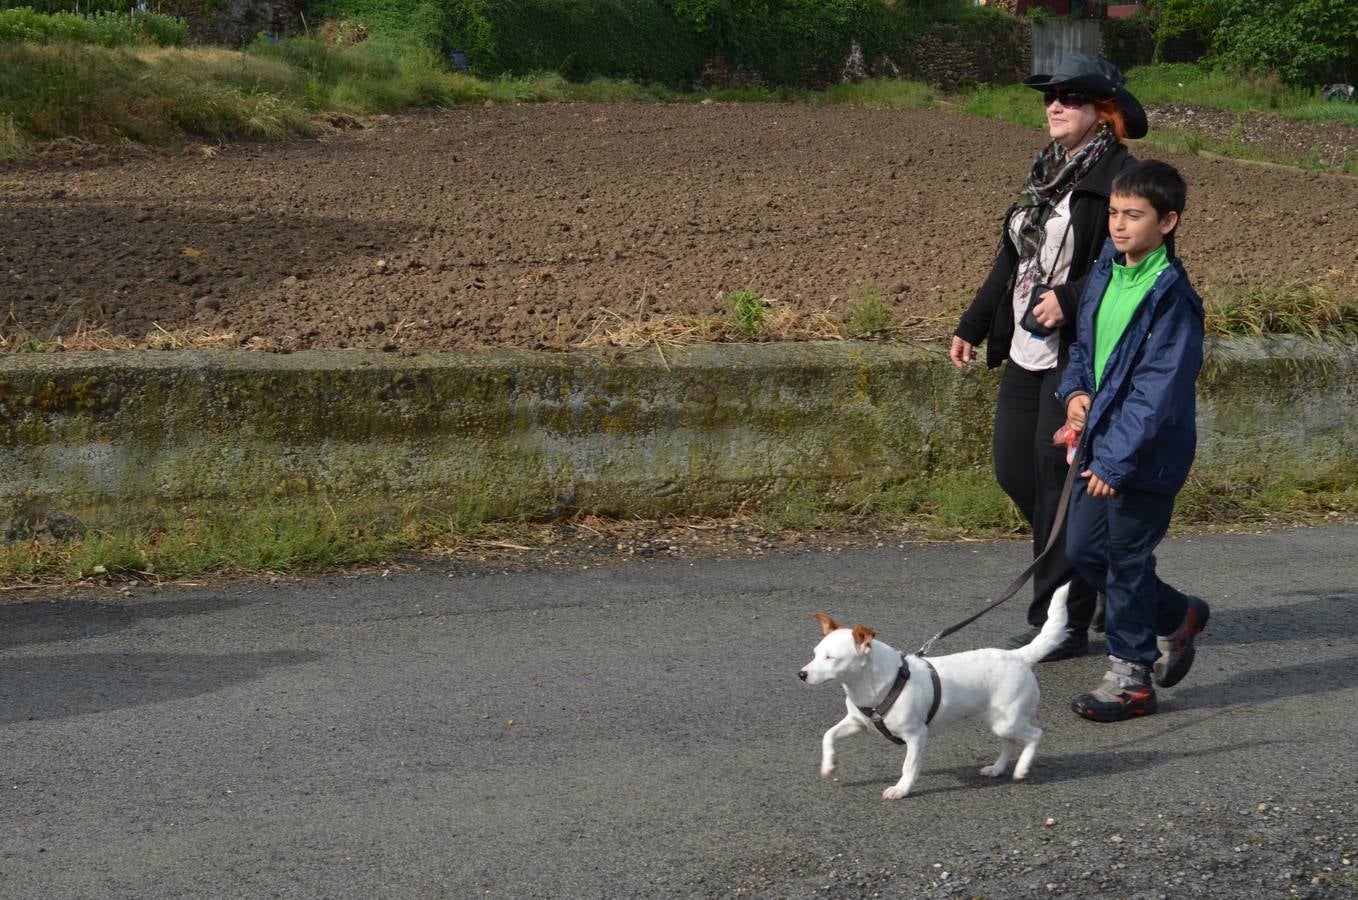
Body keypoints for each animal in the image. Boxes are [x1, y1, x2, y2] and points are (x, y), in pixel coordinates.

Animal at [793, 583, 1070, 803]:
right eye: (816, 654)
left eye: (831, 658)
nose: (801, 674)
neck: (869, 686)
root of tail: (1019, 656)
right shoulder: (856, 722)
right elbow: (828, 735)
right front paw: (829, 764)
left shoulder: (916, 736)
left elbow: (908, 766)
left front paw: (901, 789)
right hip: (998, 721)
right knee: (1010, 742)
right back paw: (998, 768)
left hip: (1008, 721)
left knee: (1034, 735)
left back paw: (1022, 768)